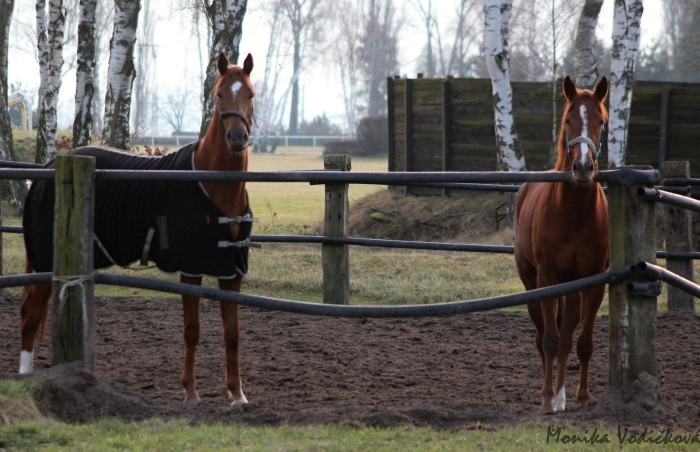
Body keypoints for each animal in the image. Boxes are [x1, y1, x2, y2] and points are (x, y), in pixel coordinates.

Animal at [516, 76, 608, 412]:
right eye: (568, 120)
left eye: (601, 122)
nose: (582, 167)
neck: (574, 214)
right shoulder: (546, 277)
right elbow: (550, 341)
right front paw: (547, 398)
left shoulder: (594, 281)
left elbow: (582, 343)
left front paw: (580, 396)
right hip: (532, 282)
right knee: (543, 335)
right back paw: (551, 394)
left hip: (572, 288)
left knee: (568, 335)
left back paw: (563, 394)